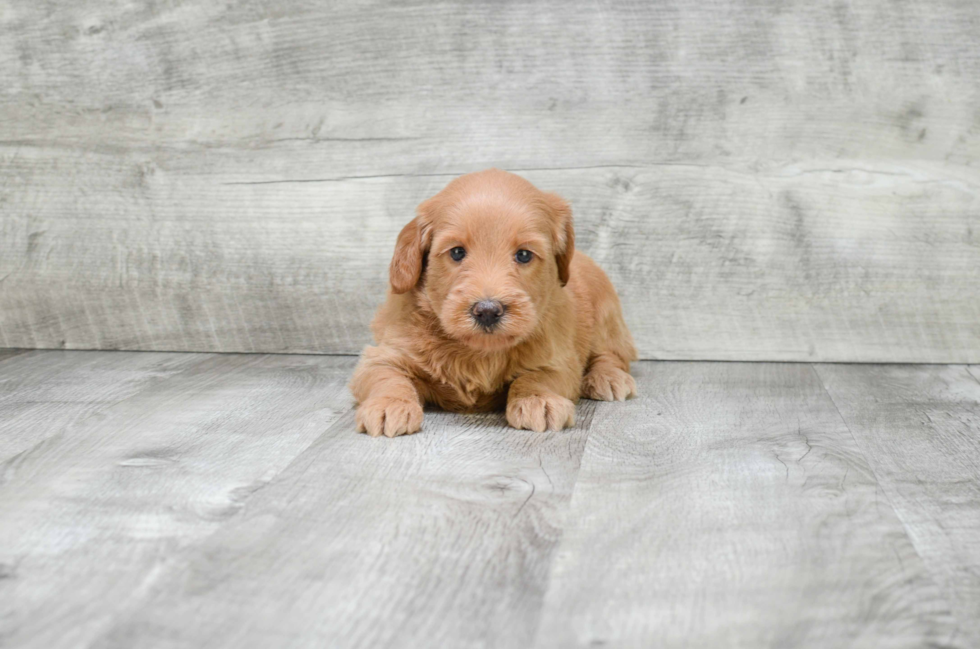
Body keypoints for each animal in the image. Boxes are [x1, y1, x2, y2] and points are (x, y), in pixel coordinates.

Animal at [348, 167, 640, 436]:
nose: (487, 311)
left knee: (612, 354)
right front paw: (389, 404)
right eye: (457, 252)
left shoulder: (558, 357)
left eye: (524, 255)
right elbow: (385, 375)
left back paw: (607, 378)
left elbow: (540, 376)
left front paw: (538, 400)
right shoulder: (387, 353)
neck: (477, 351)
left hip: (606, 314)